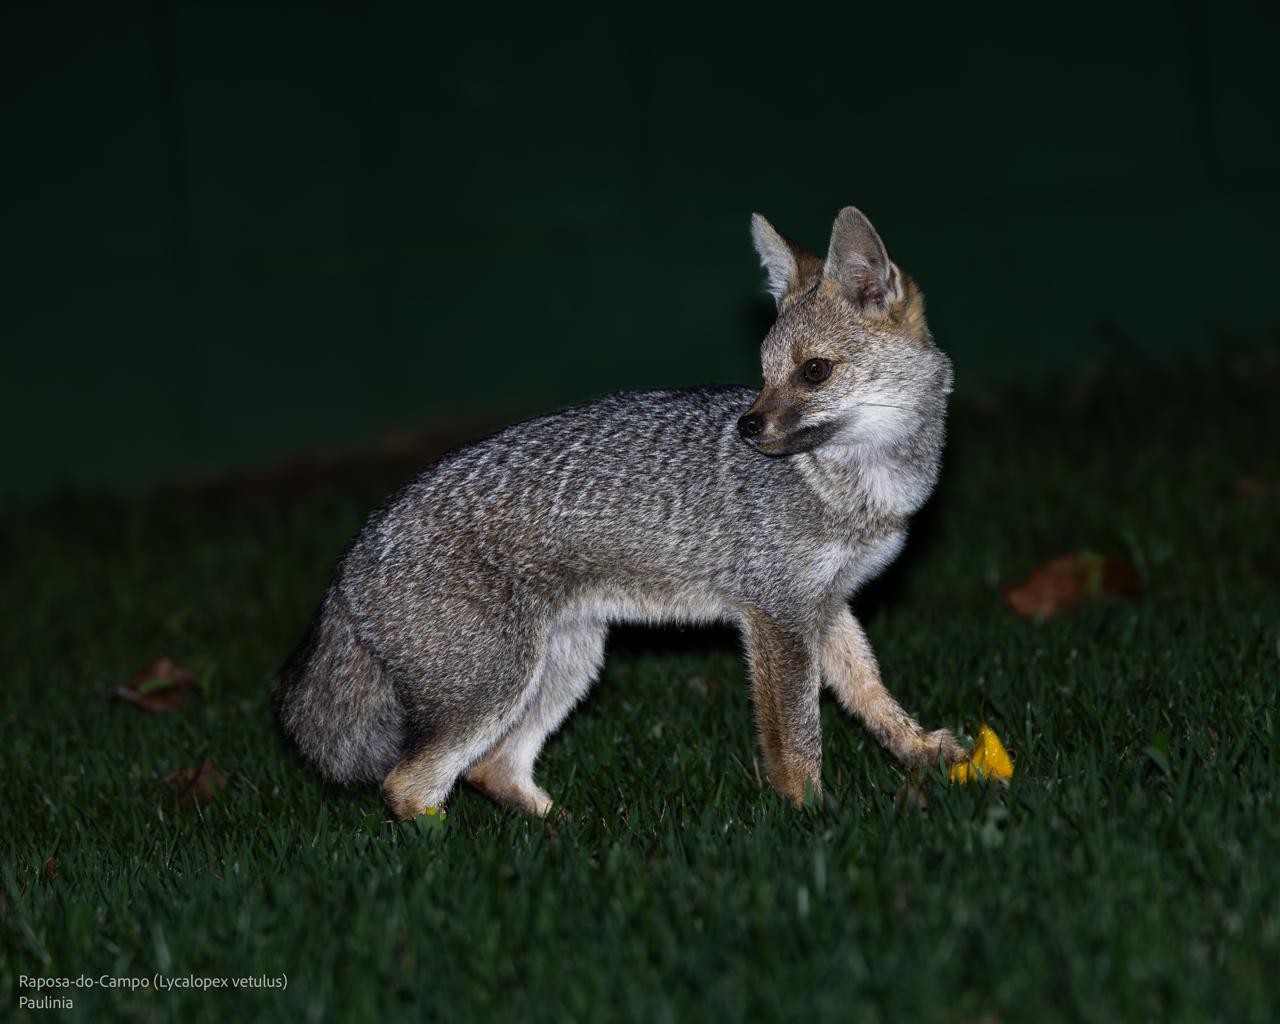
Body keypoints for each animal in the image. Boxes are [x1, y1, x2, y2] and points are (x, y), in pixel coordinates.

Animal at [275, 205, 968, 820]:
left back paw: (569, 836)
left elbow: (871, 693)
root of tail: (351, 558)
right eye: (765, 372)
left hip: (567, 665)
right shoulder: (776, 615)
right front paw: (808, 819)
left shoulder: (825, 605)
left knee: (491, 768)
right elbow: (797, 741)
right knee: (408, 786)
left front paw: (921, 751)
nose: (746, 427)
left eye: (814, 372)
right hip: (499, 686)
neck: (855, 489)